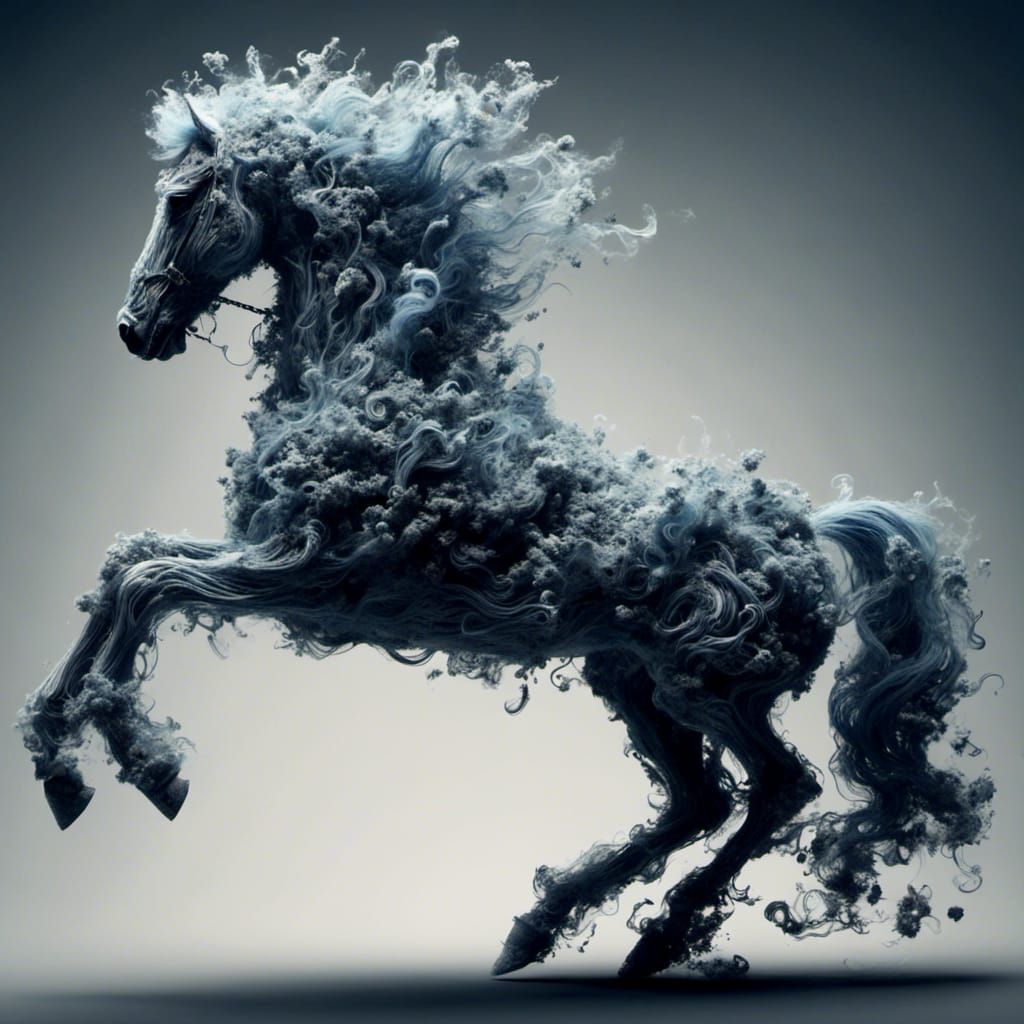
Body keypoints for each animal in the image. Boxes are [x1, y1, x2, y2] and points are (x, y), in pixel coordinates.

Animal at [17, 38, 992, 978]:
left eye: (182, 202)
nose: (132, 331)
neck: (375, 373)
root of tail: (808, 531)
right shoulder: (263, 555)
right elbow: (123, 568)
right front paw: (64, 763)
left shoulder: (306, 572)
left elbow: (146, 585)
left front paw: (143, 767)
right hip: (633, 680)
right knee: (701, 799)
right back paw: (540, 930)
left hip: (714, 687)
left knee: (781, 791)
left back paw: (655, 937)